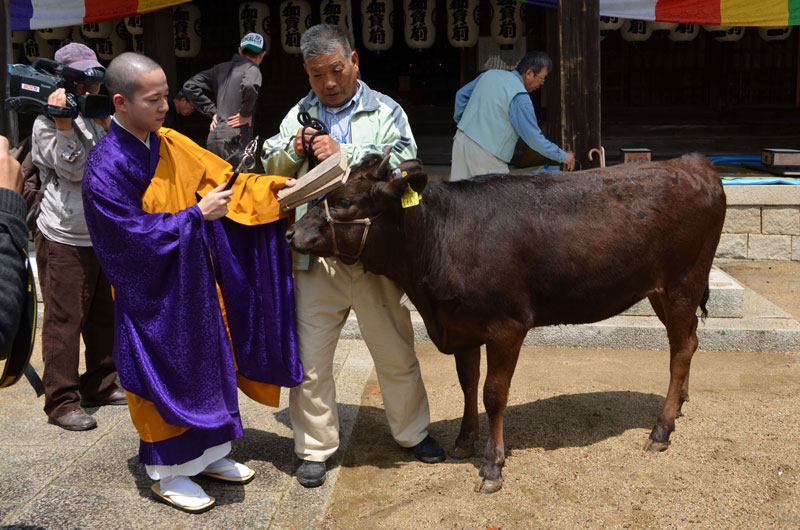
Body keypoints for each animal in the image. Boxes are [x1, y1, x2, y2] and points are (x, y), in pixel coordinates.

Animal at [284, 152, 728, 490]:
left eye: (344, 202)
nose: (290, 234)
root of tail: (694, 162)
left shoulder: (507, 326)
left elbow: (493, 394)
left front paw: (492, 465)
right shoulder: (461, 327)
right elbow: (467, 384)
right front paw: (464, 440)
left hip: (683, 281)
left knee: (681, 348)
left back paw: (661, 429)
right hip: (659, 290)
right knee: (689, 340)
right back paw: (680, 404)